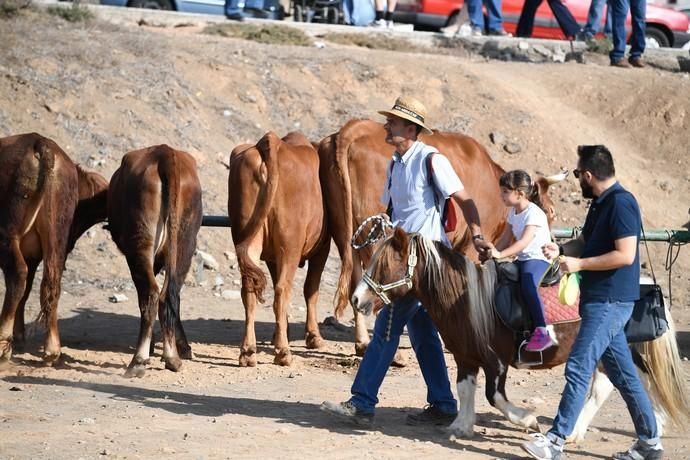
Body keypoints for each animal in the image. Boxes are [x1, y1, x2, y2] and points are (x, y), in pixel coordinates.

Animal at [0, 132, 107, 362]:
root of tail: (41, 143)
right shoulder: (34, 255)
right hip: (55, 239)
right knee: (50, 283)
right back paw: (51, 349)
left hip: (7, 235)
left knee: (18, 276)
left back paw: (3, 346)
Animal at [106, 145, 200, 378]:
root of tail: (165, 152)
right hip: (185, 242)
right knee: (170, 294)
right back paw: (172, 356)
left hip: (140, 243)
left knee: (150, 294)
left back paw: (139, 360)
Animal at [227, 130, 330, 366]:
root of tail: (270, 142)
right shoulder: (322, 248)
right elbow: (311, 289)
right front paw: (313, 337)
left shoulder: (271, 256)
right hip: (289, 244)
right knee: (283, 290)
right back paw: (283, 353)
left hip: (248, 236)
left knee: (250, 290)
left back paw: (248, 352)